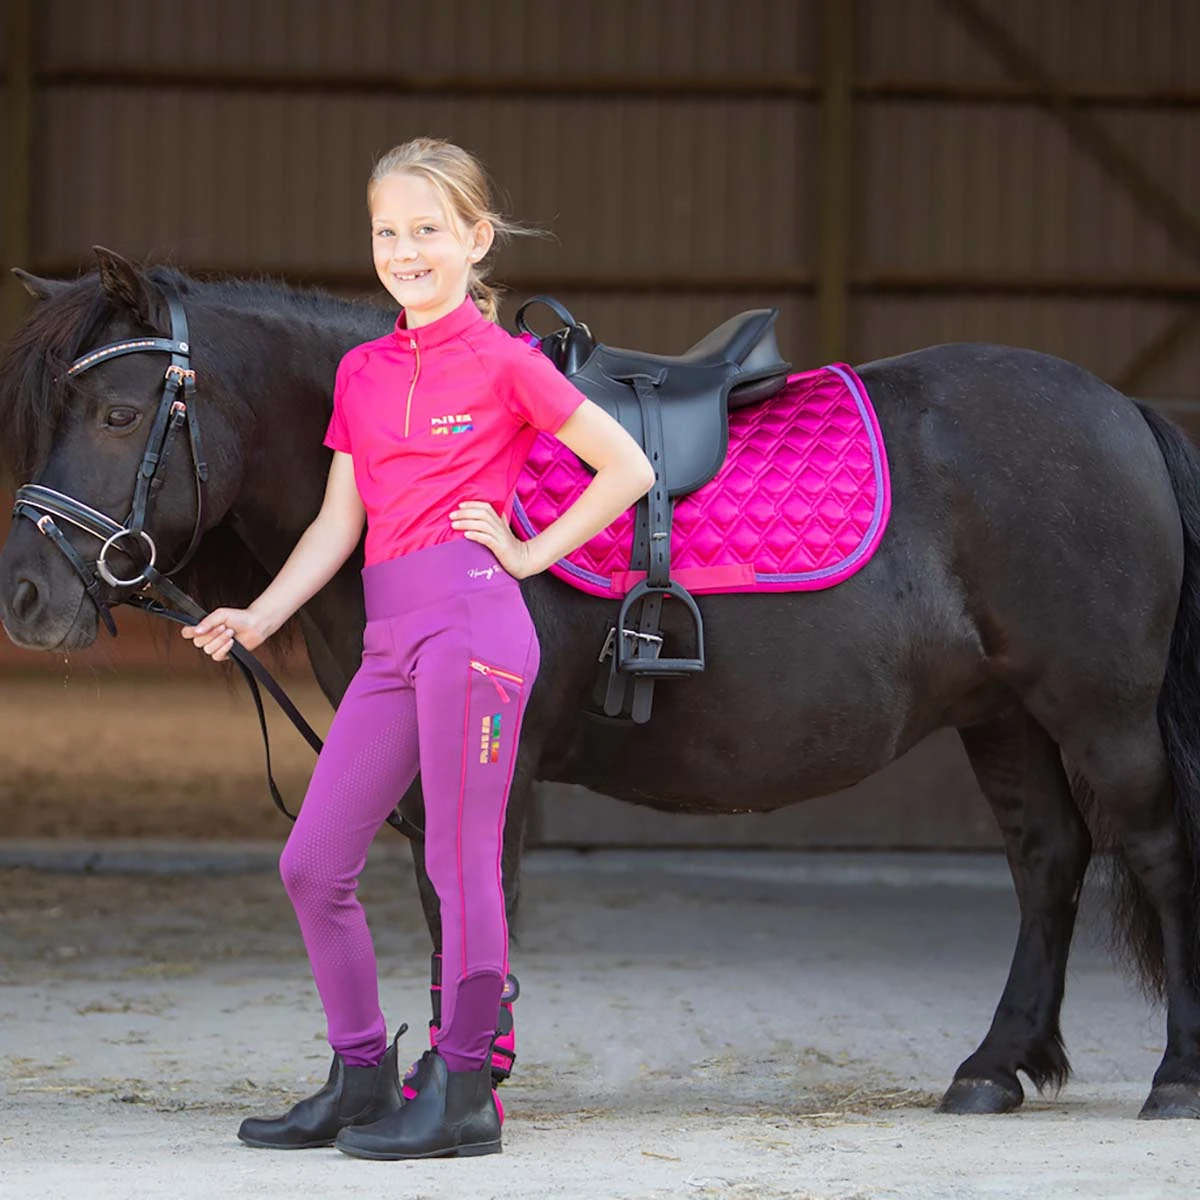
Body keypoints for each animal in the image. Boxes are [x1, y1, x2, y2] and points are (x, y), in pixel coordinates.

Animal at [3, 248, 1200, 1122]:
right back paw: (996, 1066)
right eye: (50, 416)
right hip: (1003, 715)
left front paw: (459, 1084)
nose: (25, 595)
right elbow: (442, 900)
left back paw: (1173, 1077)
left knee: (1150, 849)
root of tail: (1120, 410)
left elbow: (469, 894)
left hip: (1098, 712)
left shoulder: (497, 747)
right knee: (1048, 861)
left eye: (118, 415)